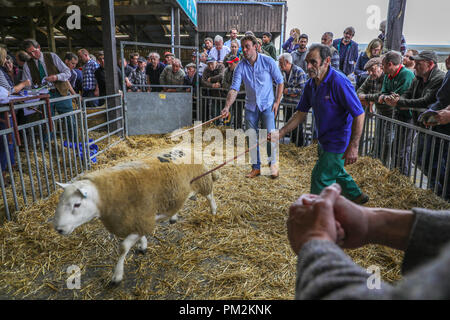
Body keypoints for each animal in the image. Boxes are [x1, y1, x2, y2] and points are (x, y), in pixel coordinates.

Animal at [52, 161, 218, 284]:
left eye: (77, 204)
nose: (59, 229)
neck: (105, 197)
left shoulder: (142, 220)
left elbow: (123, 247)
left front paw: (117, 275)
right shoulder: (139, 220)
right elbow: (139, 236)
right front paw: (142, 245)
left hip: (203, 180)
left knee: (210, 195)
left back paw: (214, 210)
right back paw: (174, 216)